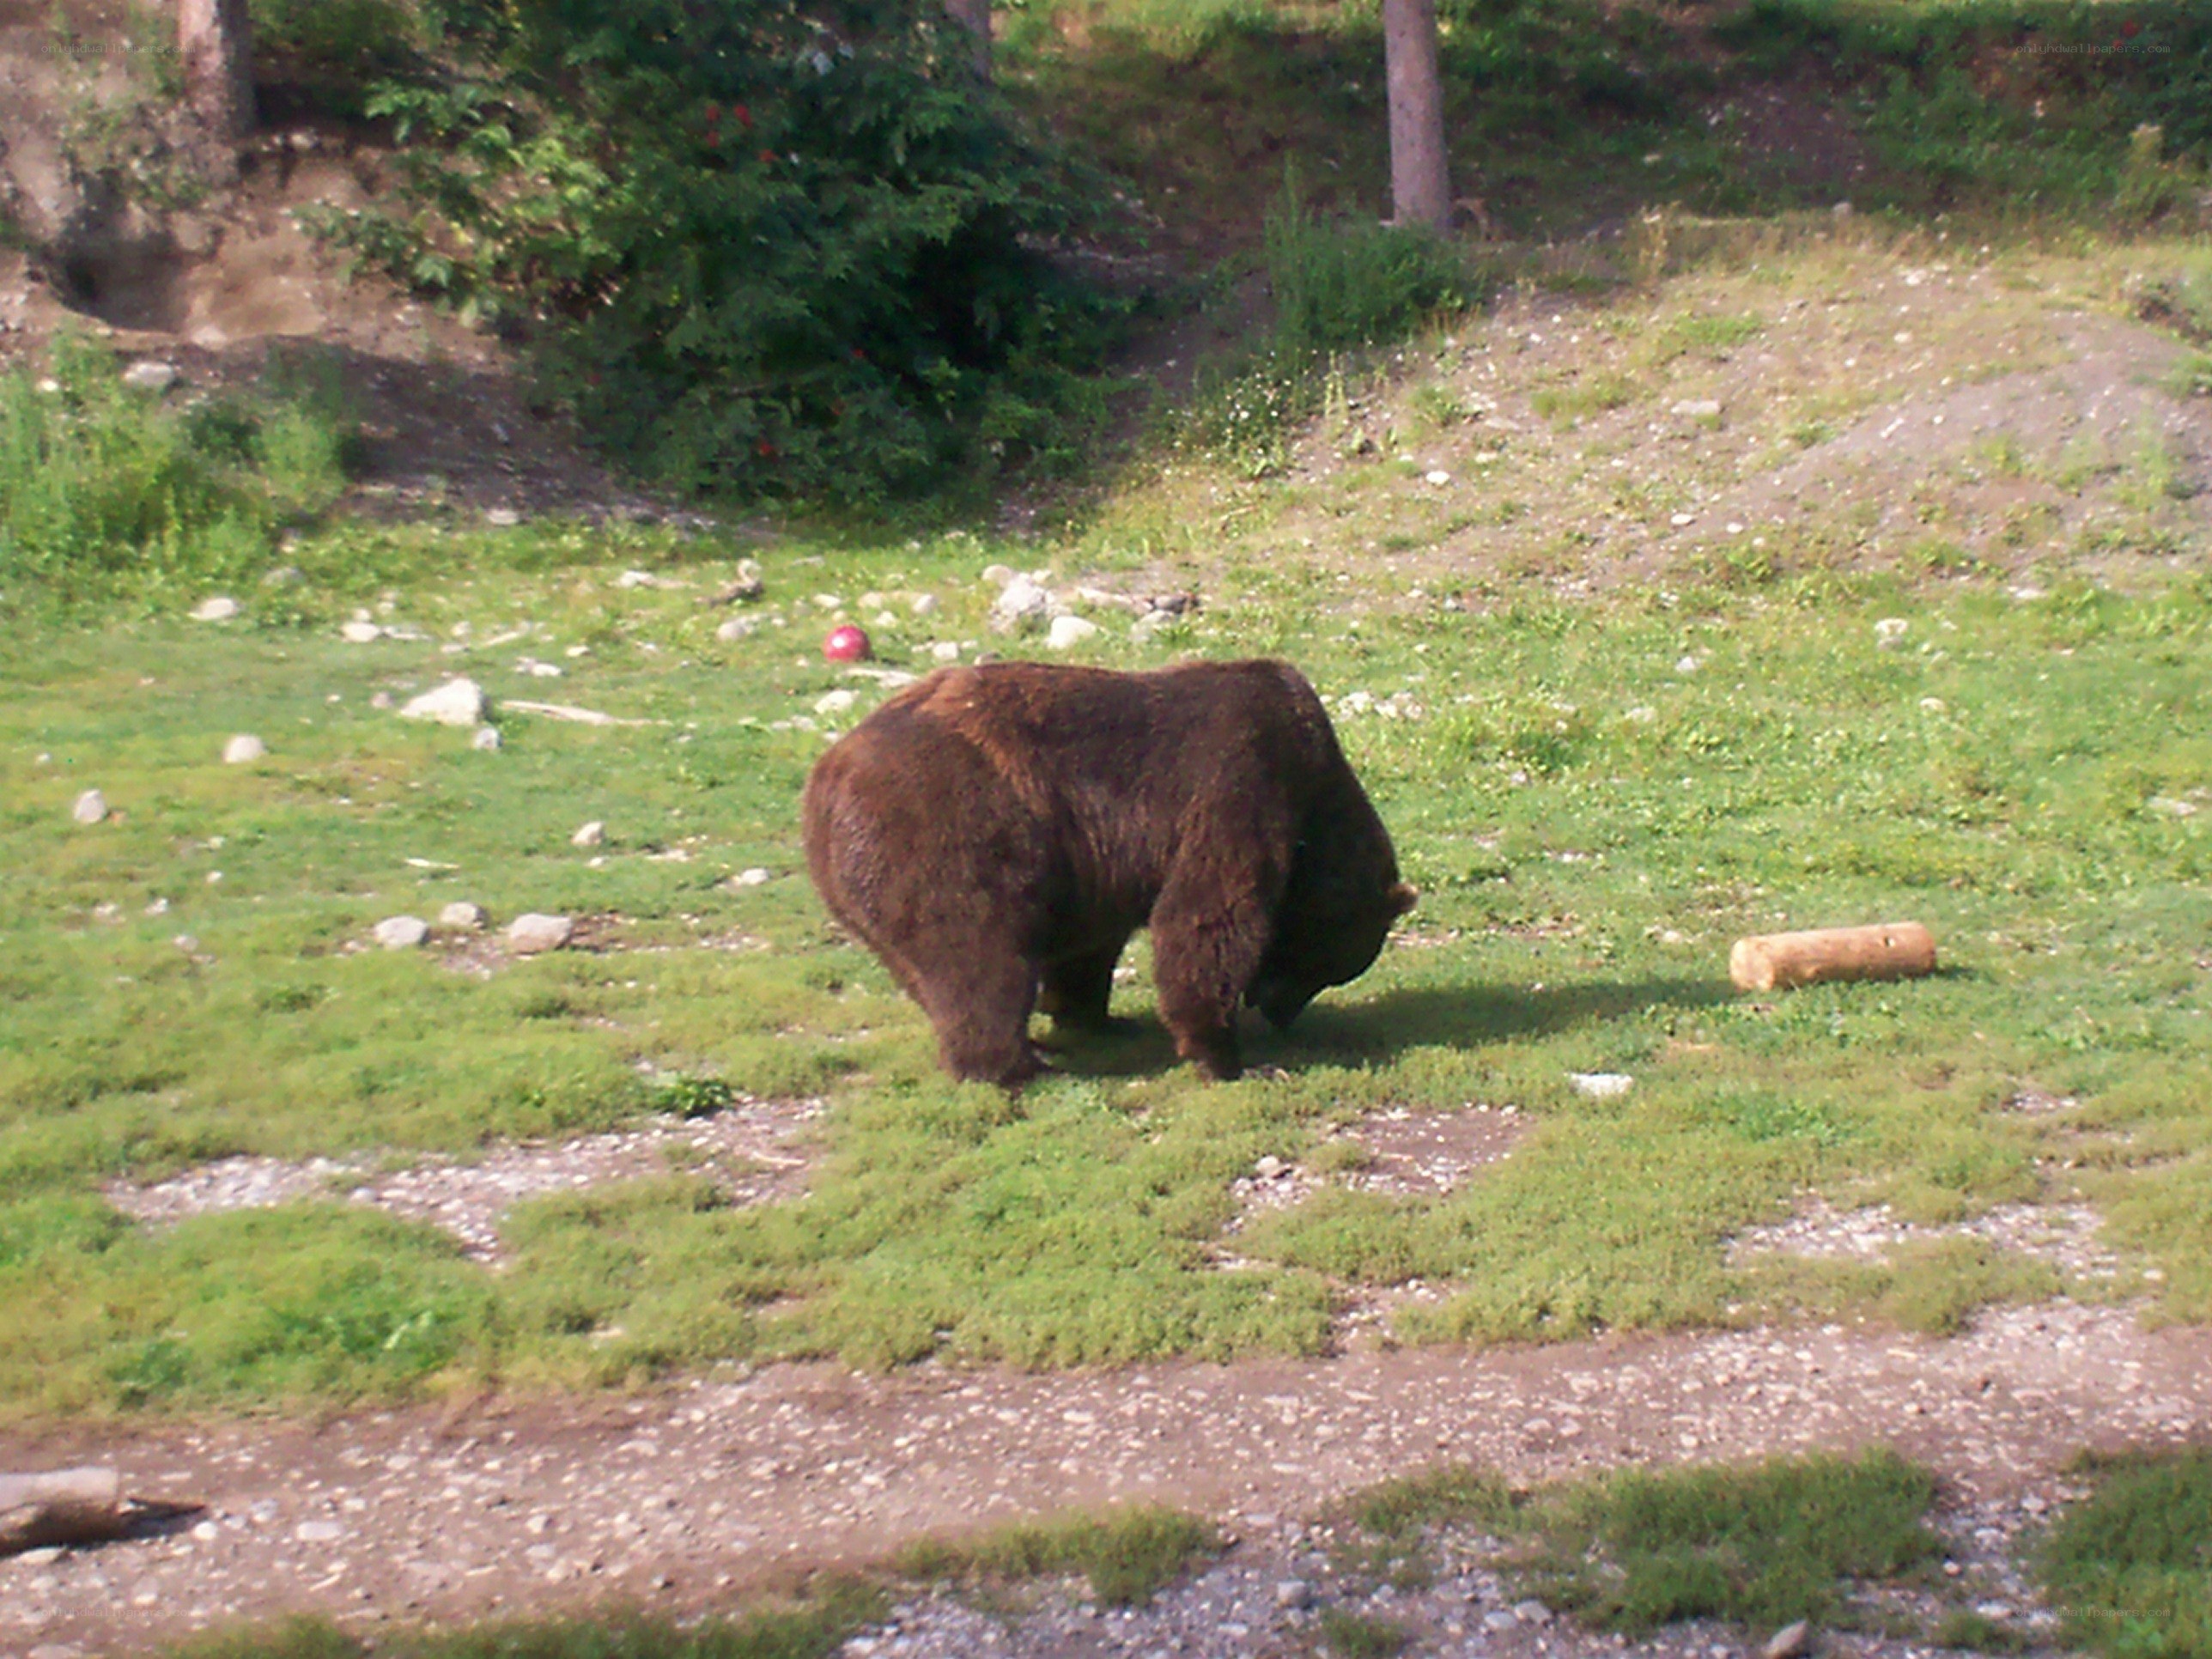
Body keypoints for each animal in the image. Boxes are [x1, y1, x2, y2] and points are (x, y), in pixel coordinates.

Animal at [801, 658, 1414, 1088]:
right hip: (945, 829)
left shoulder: (1094, 865)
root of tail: (826, 777)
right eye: (1326, 965)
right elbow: (1207, 918)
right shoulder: (1240, 779)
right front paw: (1225, 1056)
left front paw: (1094, 1016)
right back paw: (1015, 1066)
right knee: (976, 956)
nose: (1278, 1012)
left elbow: (1089, 946)